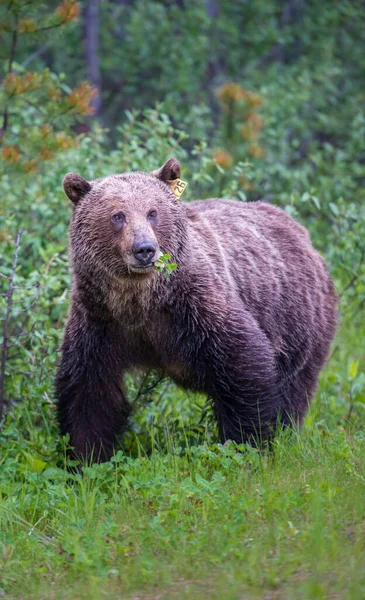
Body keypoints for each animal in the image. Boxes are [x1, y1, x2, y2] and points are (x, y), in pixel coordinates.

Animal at [55, 157, 336, 462]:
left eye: (152, 212)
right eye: (118, 215)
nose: (144, 249)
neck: (140, 302)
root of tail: (303, 235)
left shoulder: (196, 307)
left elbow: (244, 365)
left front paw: (247, 443)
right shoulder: (99, 321)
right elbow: (88, 392)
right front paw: (85, 457)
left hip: (297, 319)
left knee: (293, 387)